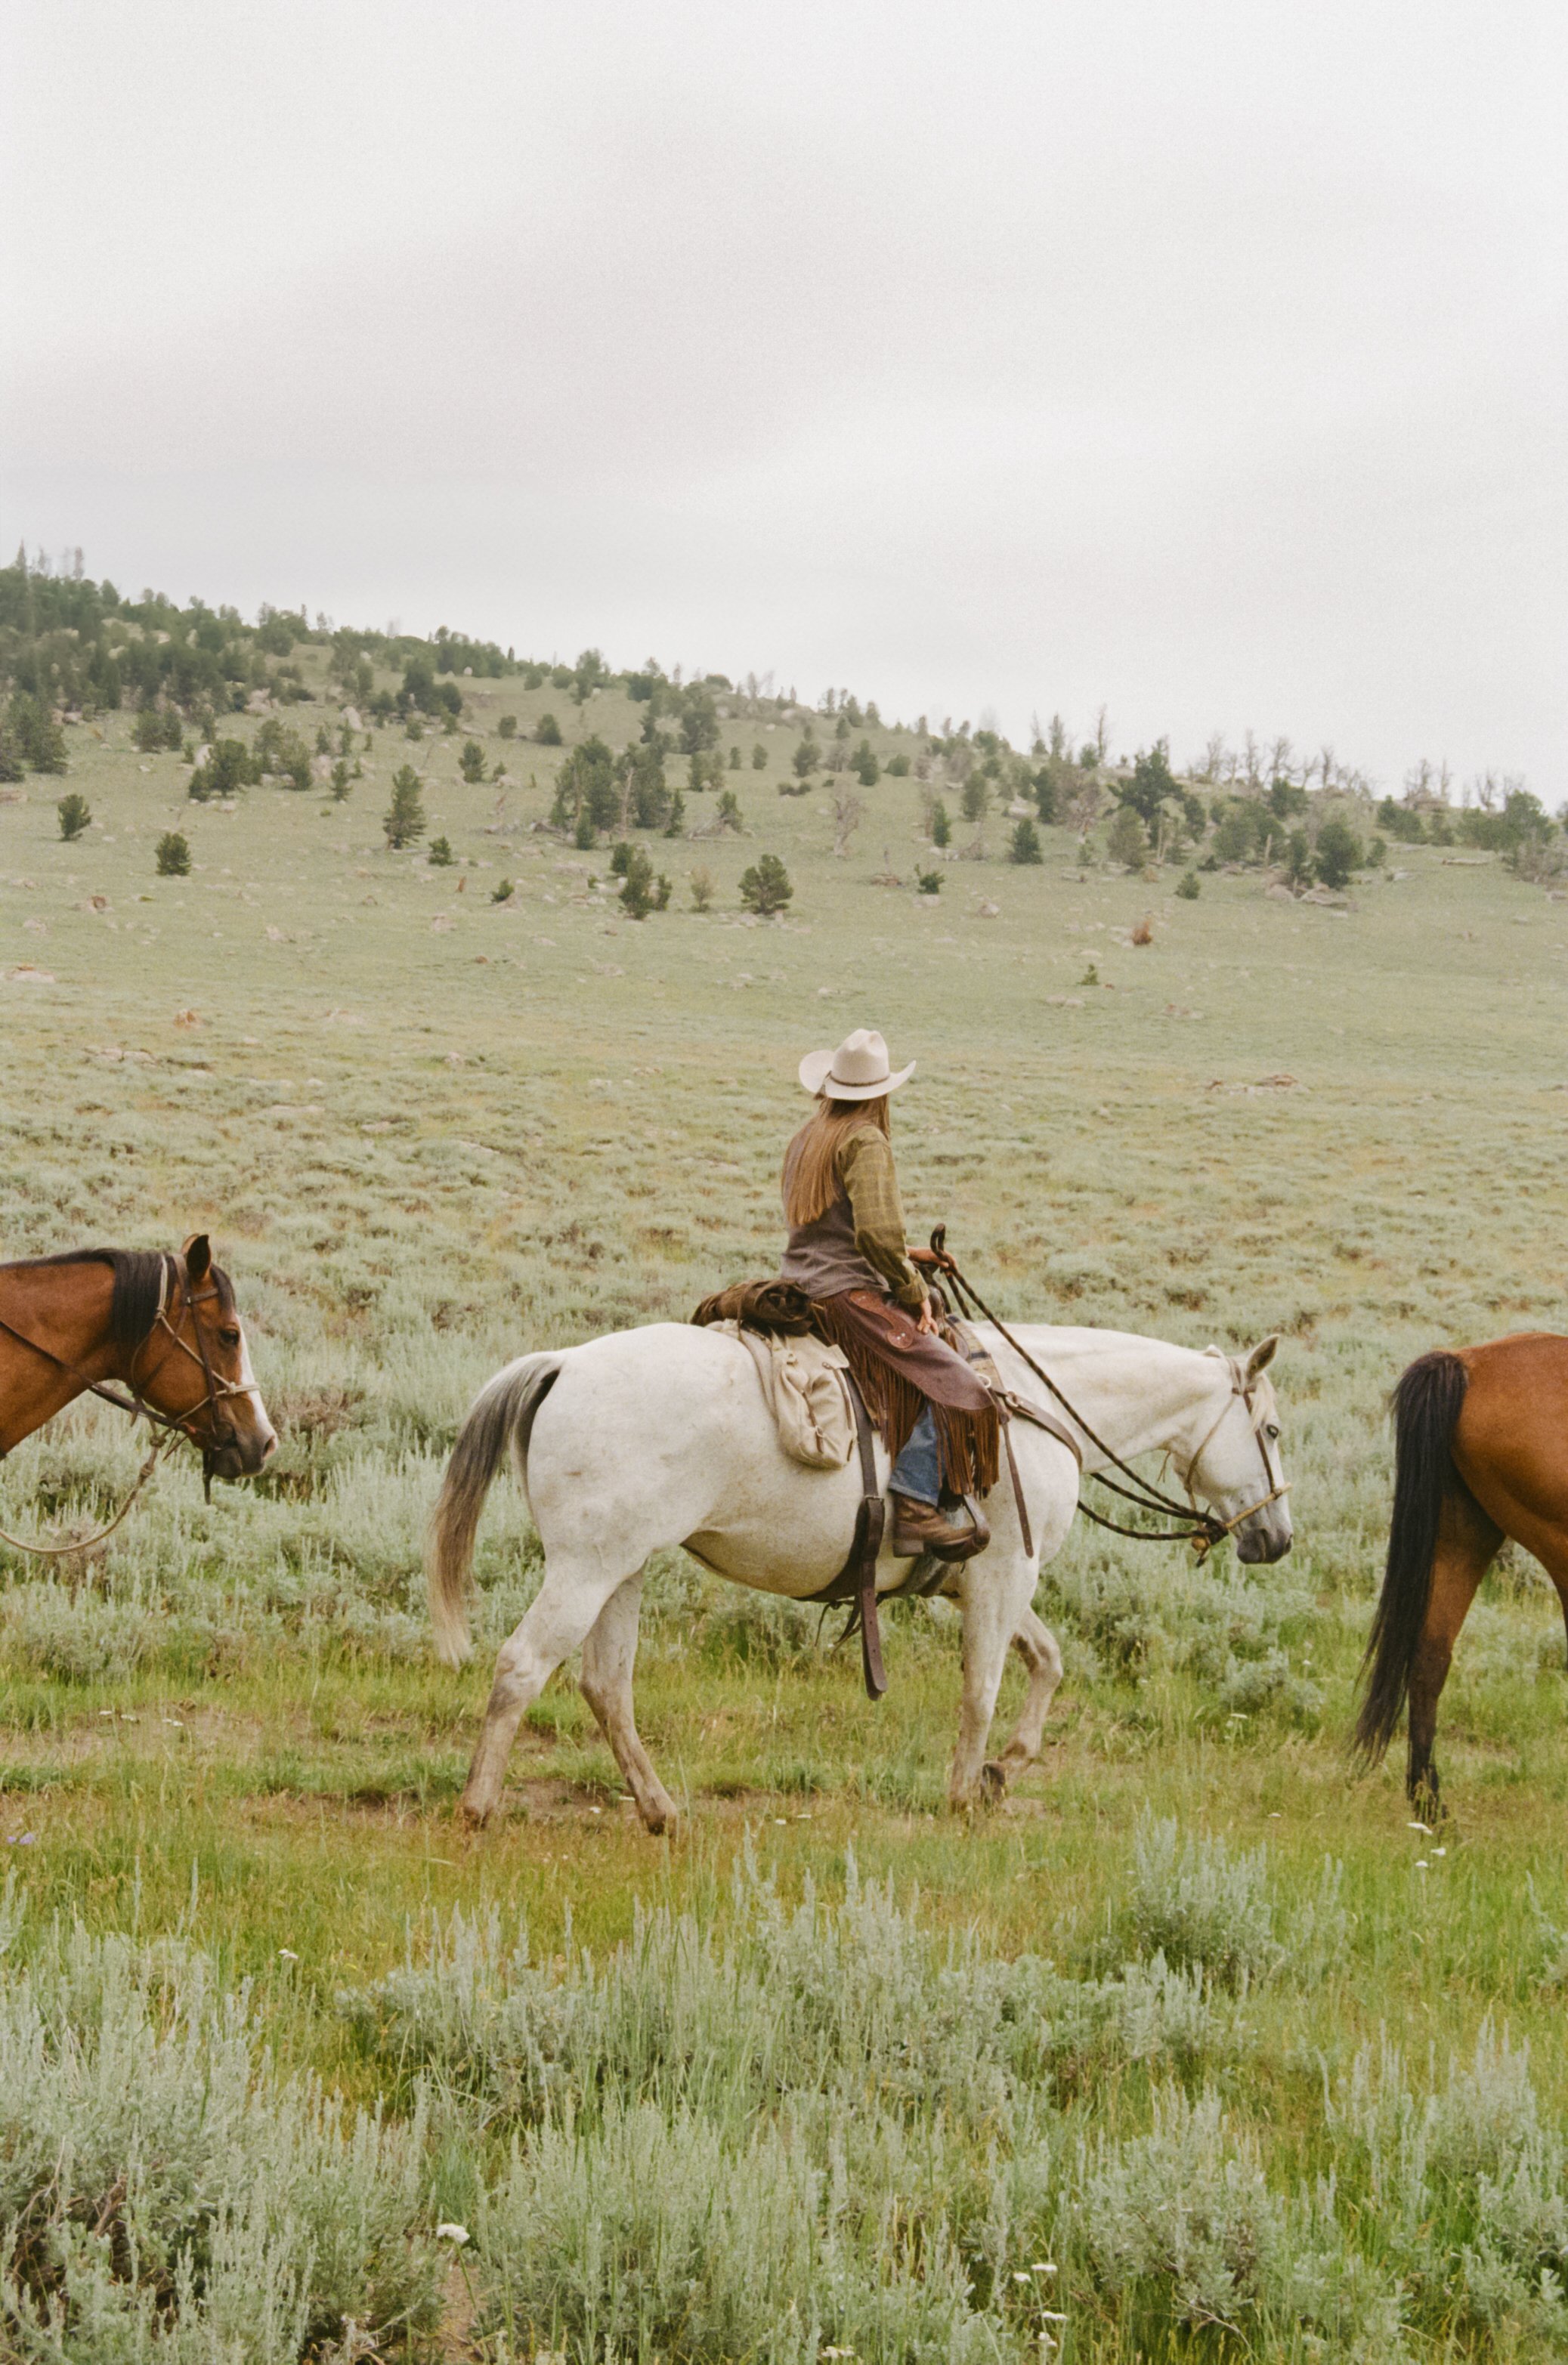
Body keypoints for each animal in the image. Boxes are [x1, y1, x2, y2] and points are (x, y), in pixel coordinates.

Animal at [427, 1319, 1292, 1830]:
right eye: (1274, 1429)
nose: (1276, 1538)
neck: (1032, 1407)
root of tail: (564, 1364)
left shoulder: (983, 1583)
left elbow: (1046, 1662)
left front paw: (999, 1772)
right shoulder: (1003, 1576)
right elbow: (981, 1687)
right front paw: (962, 1794)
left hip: (623, 1571)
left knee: (605, 1687)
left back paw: (662, 1810)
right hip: (586, 1569)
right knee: (521, 1667)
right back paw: (477, 1809)